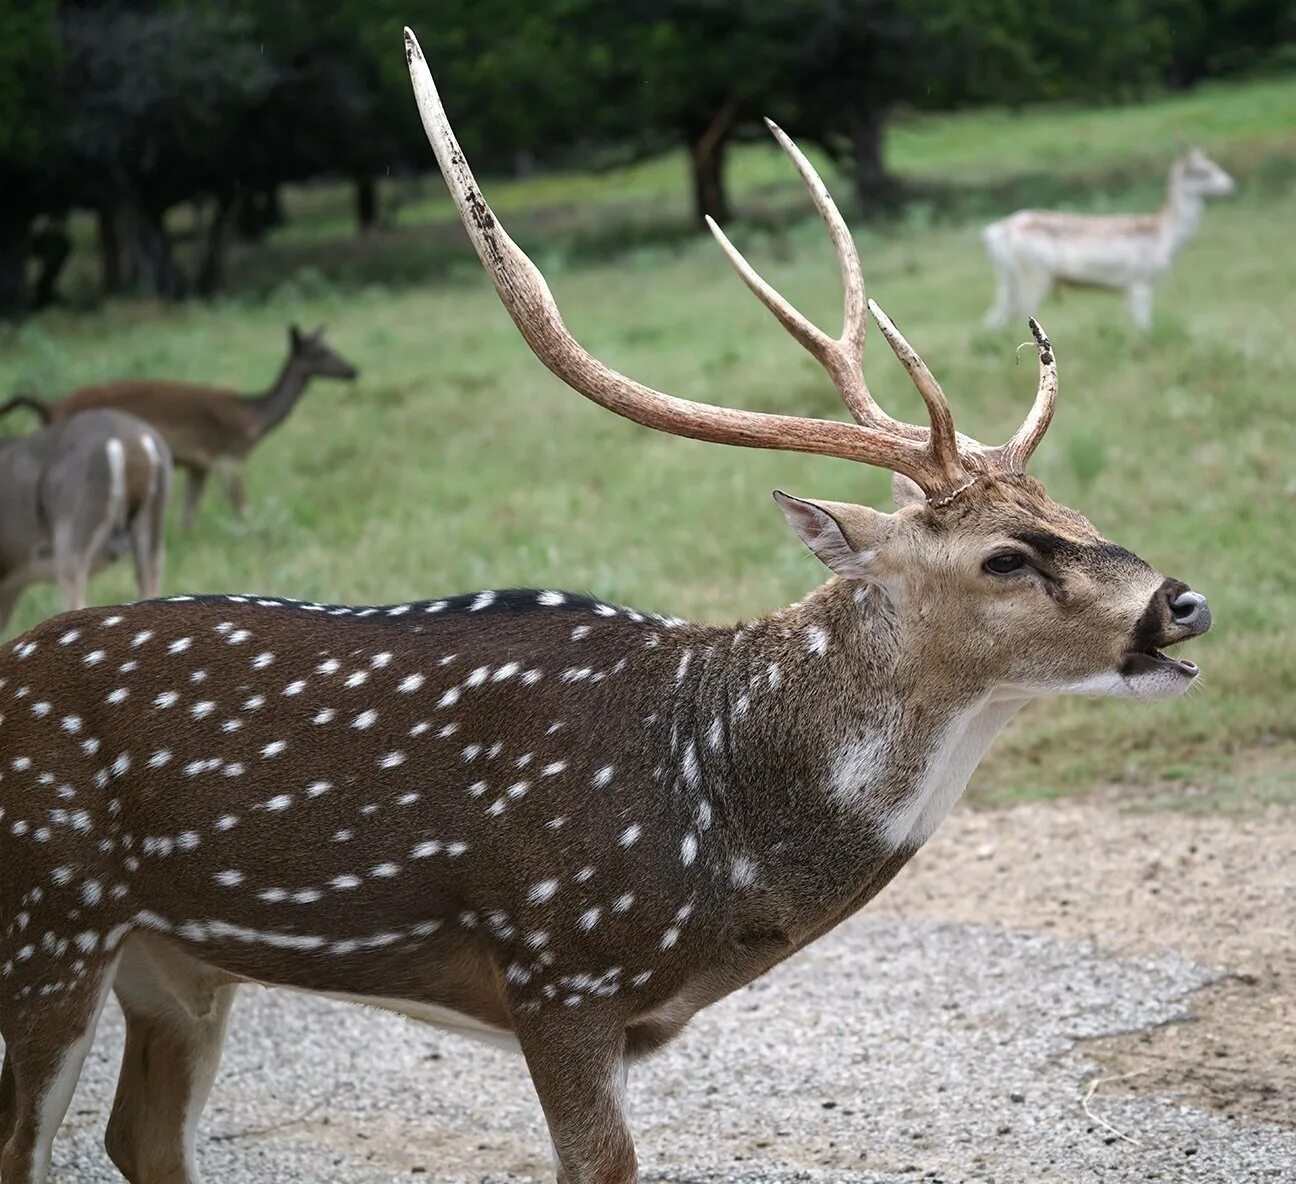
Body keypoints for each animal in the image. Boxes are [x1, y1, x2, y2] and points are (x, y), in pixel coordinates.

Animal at [0, 322, 357, 525]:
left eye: (327, 347)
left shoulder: (201, 465)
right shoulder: (231, 455)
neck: (253, 418)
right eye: (319, 352)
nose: (354, 370)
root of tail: (49, 408)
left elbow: (189, 517)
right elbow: (242, 508)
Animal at [979, 150, 1233, 331]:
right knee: (1018, 313)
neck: (1163, 235)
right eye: (1204, 170)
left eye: (1214, 165)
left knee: (996, 317)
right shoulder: (1140, 281)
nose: (1230, 185)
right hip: (1035, 275)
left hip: (1008, 279)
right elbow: (1143, 326)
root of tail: (995, 231)